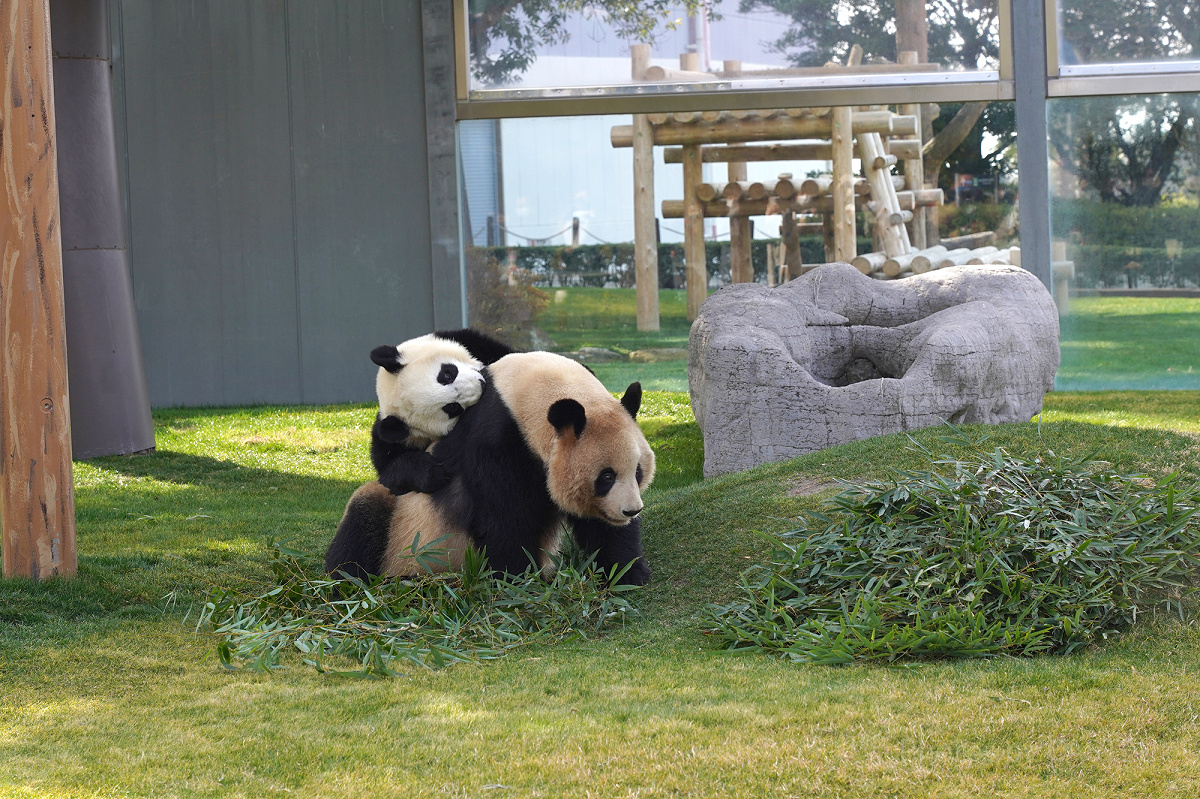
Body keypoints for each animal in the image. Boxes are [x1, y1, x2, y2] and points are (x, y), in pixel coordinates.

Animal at [324, 352, 652, 583]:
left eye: (637, 471)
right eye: (606, 477)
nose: (631, 511)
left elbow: (599, 526)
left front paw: (625, 573)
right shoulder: (498, 441)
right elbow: (504, 518)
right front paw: (516, 581)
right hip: (403, 533)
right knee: (364, 515)